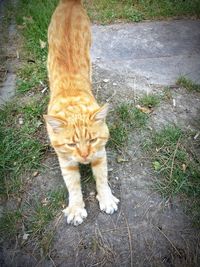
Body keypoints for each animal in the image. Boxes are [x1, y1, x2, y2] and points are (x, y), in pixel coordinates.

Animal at [43, 0, 119, 226]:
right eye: (71, 144)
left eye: (92, 140)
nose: (84, 155)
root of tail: (70, 2)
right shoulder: (66, 161)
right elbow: (73, 186)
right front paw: (76, 208)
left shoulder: (100, 153)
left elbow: (102, 178)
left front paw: (106, 199)